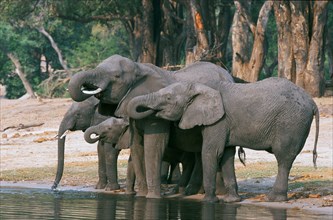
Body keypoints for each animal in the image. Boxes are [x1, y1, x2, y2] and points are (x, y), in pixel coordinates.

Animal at [67, 54, 233, 198]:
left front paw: (152, 197)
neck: (139, 68)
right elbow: (136, 146)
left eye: (116, 76)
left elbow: (154, 144)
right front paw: (141, 196)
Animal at [127, 77, 320, 203]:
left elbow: (211, 153)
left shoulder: (218, 121)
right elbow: (226, 155)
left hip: (291, 123)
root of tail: (312, 103)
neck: (200, 88)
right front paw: (231, 201)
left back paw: (274, 199)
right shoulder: (224, 125)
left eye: (168, 98)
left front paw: (209, 202)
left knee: (284, 159)